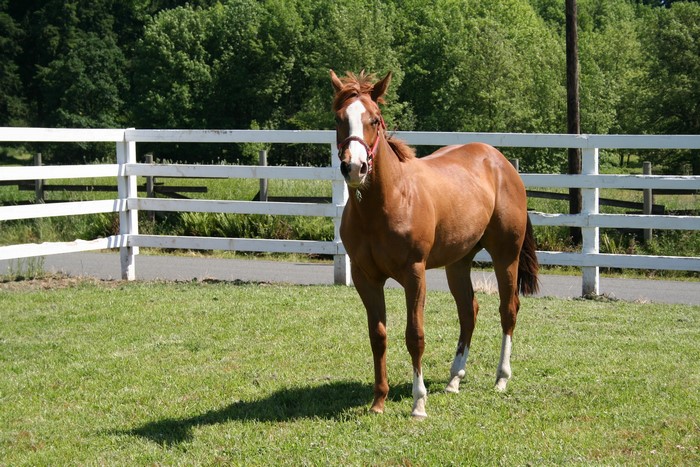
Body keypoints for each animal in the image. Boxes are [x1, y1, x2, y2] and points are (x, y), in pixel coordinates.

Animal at [330, 70, 539, 418]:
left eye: (374, 119)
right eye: (339, 119)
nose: (354, 167)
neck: (387, 202)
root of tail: (501, 162)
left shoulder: (415, 274)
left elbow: (414, 336)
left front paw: (419, 403)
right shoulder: (365, 277)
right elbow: (378, 336)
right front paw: (378, 401)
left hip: (505, 256)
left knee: (508, 309)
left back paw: (501, 378)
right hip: (458, 263)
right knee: (468, 311)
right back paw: (455, 378)